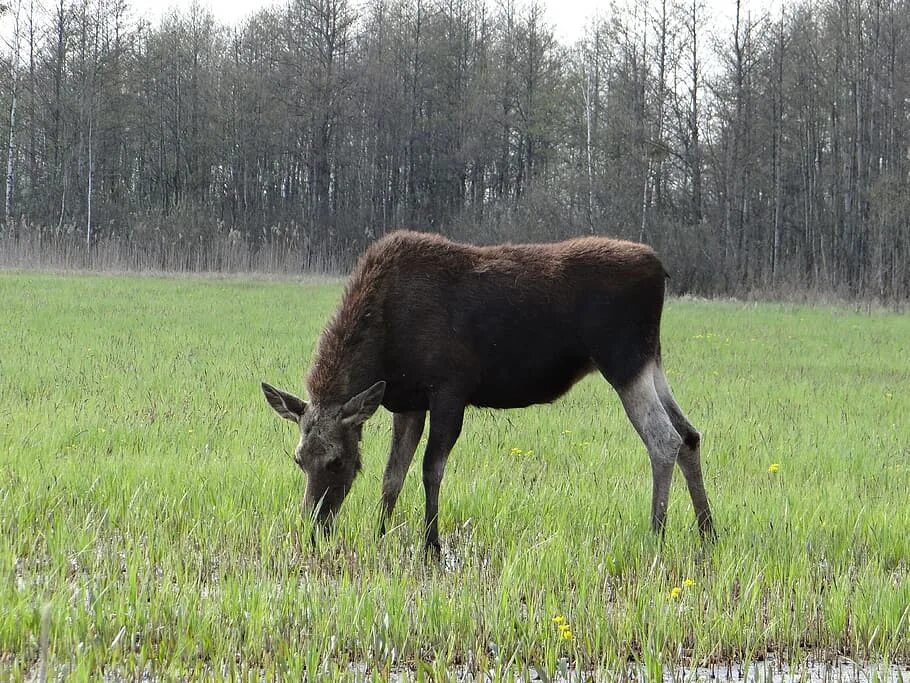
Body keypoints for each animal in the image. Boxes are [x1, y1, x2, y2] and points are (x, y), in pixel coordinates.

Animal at [260, 230, 716, 556]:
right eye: (299, 459)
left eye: (337, 462)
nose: (314, 527)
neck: (382, 347)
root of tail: (661, 271)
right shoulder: (406, 403)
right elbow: (392, 475)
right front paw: (379, 534)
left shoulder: (449, 389)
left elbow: (430, 468)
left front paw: (431, 545)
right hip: (650, 361)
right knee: (690, 434)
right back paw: (707, 532)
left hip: (622, 361)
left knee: (663, 439)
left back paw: (656, 534)